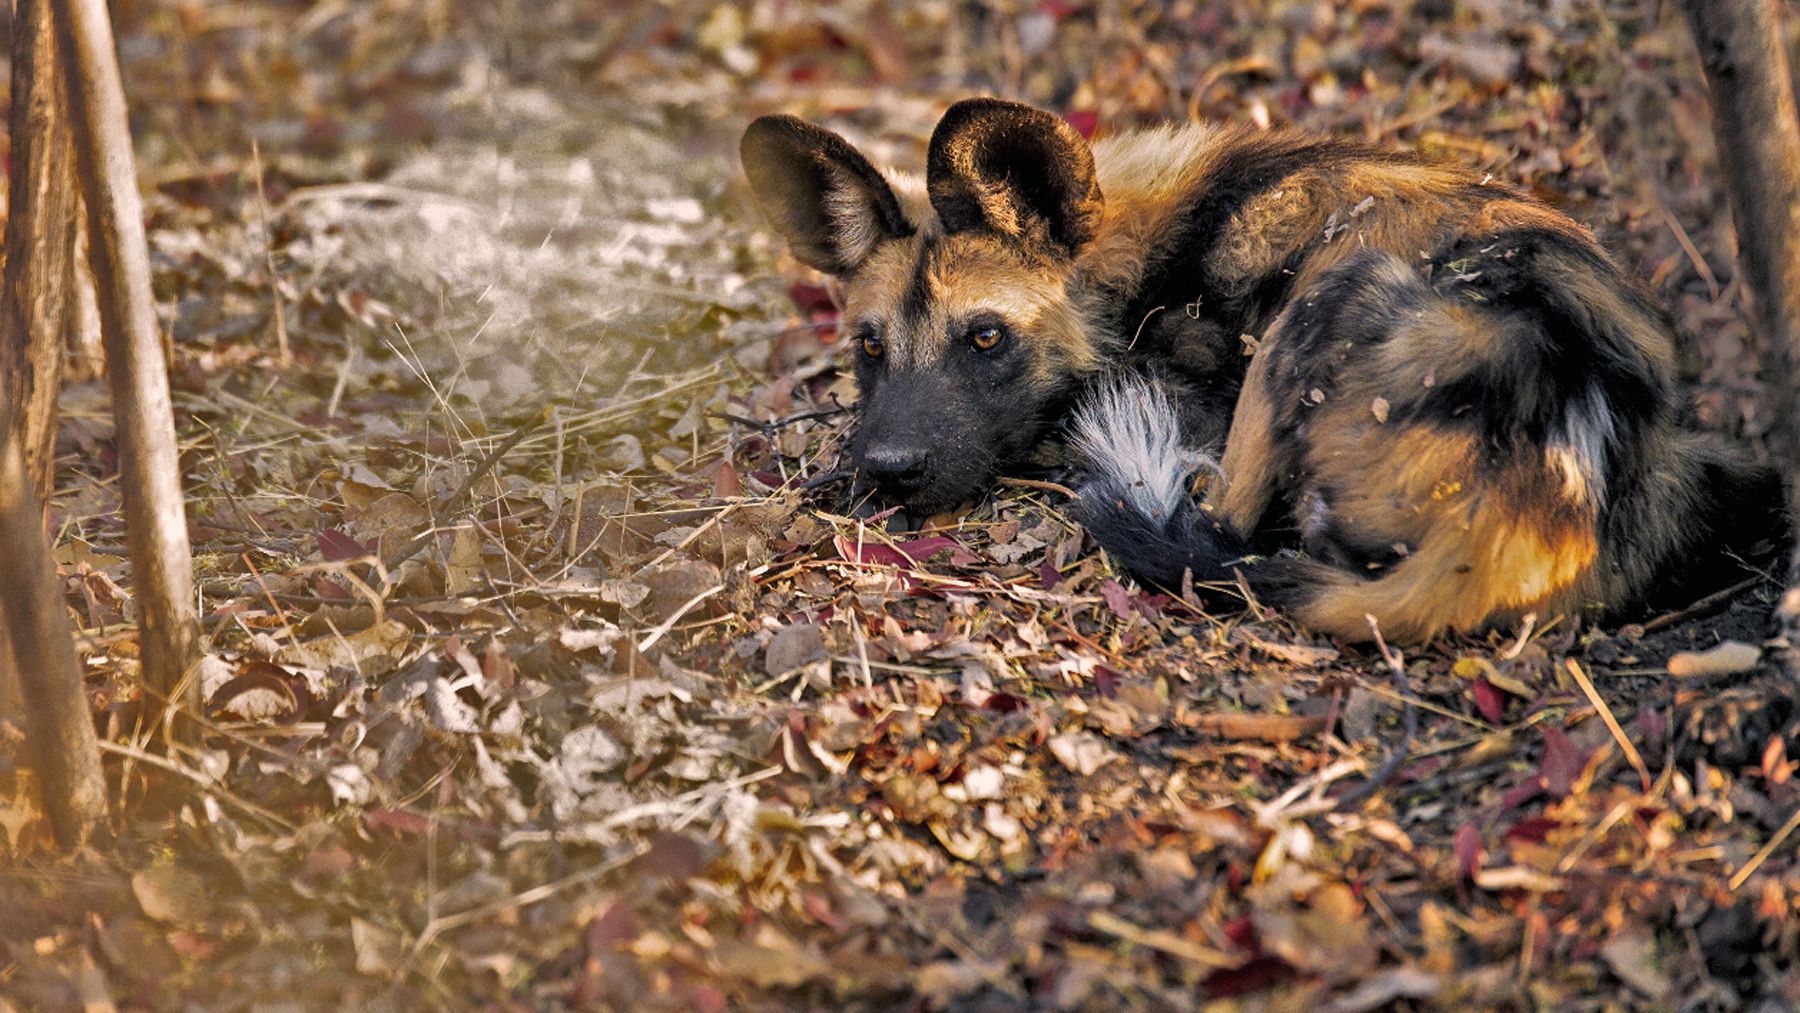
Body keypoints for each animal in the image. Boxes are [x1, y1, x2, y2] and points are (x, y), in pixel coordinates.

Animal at [738, 98, 1778, 647]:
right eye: (870, 347)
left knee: (1223, 521)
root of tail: (1545, 501)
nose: (889, 468)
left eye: (986, 339)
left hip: (1325, 299)